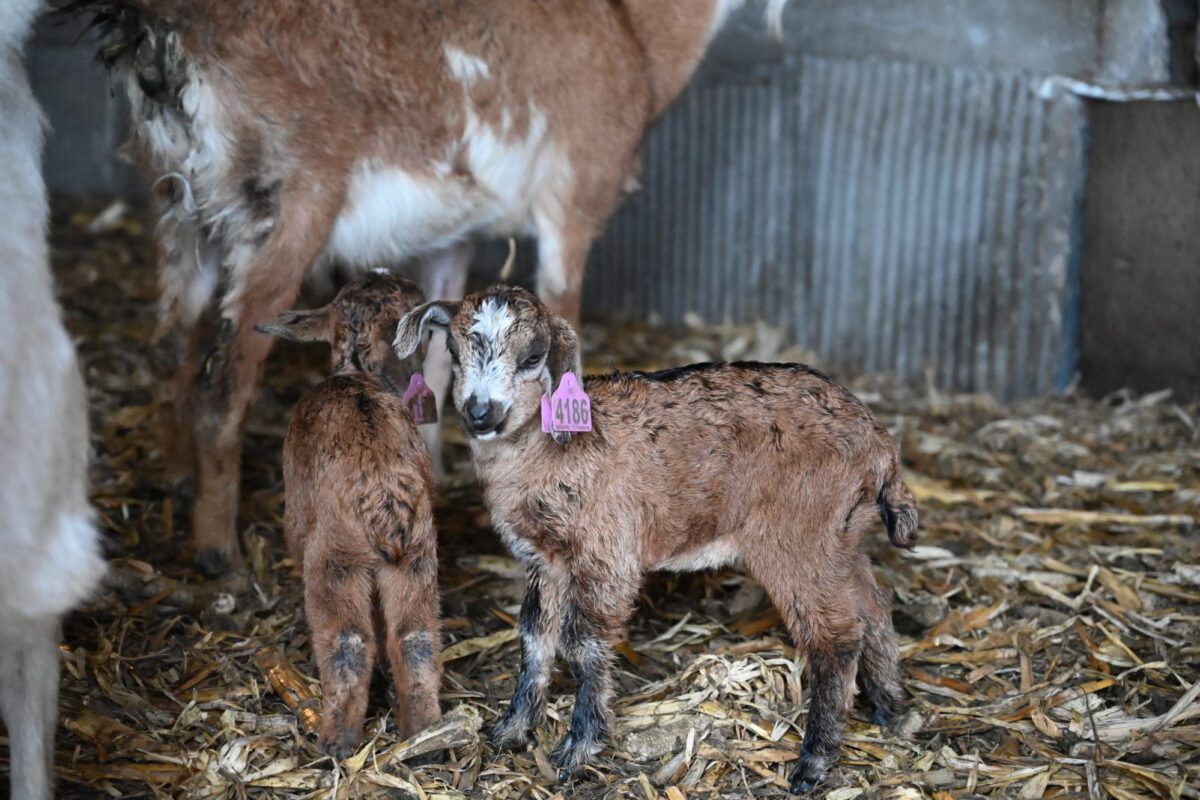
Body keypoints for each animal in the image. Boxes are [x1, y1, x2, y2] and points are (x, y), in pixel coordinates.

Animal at [62, 0, 787, 574]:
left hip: (180, 213)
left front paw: (433, 473)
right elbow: (563, 326)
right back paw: (220, 556)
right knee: (224, 379)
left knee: (170, 347)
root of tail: (158, 33)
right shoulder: (573, 201)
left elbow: (438, 364)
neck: (629, 28)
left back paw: (178, 482)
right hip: (283, 207)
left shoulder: (451, 237)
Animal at [256, 272, 442, 757]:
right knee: (414, 635)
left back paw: (335, 743)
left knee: (348, 641)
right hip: (417, 556)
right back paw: (426, 735)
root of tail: (385, 499)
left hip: (334, 560)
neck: (356, 373)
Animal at [393, 286, 918, 793]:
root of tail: (879, 443)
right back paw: (893, 710)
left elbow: (582, 643)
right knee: (873, 607)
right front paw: (512, 728)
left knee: (837, 636)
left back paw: (814, 760)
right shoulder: (545, 557)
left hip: (798, 532)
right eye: (454, 352)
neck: (553, 447)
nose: (481, 413)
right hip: (842, 533)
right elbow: (535, 636)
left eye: (533, 356)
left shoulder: (607, 549)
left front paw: (579, 747)